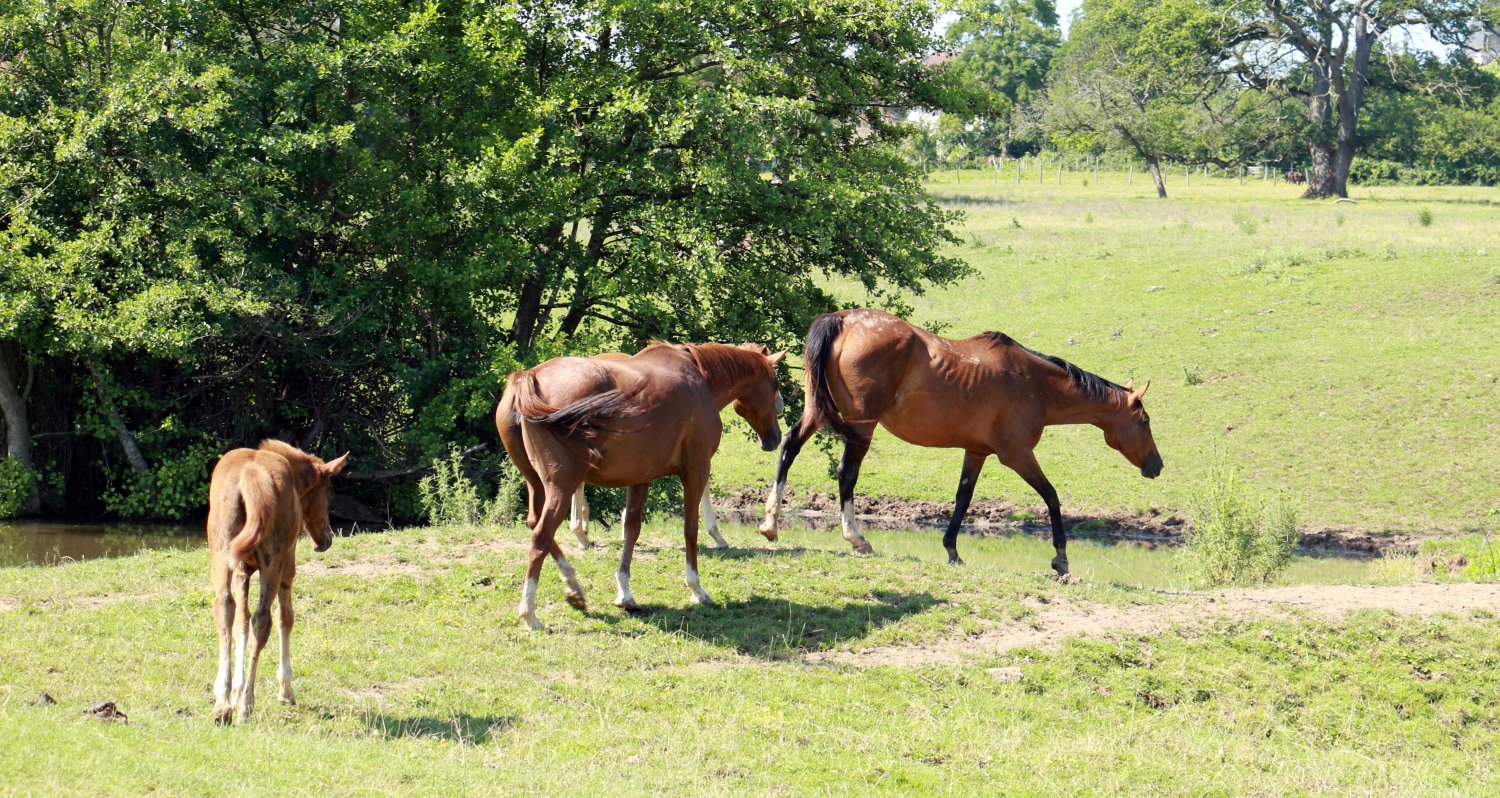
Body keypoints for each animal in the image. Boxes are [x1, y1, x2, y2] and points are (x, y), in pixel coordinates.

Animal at [206, 440, 348, 723]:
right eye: (328, 492)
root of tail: (250, 477)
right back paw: (246, 705)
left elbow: (240, 622)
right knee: (263, 620)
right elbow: (286, 618)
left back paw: (223, 705)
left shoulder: (241, 569)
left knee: (225, 608)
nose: (326, 539)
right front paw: (285, 688)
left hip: (222, 555)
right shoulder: (287, 566)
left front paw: (234, 690)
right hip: (273, 562)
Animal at [759, 309, 1161, 576]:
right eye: (1145, 421)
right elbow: (1052, 497)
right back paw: (856, 537)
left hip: (816, 410)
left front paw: (951, 549)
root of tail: (843, 320)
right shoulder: (1017, 455)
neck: (1034, 384)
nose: (1157, 465)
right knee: (846, 474)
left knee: (789, 448)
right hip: (862, 426)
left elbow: (963, 499)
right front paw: (1060, 560)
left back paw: (771, 524)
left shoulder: (977, 452)